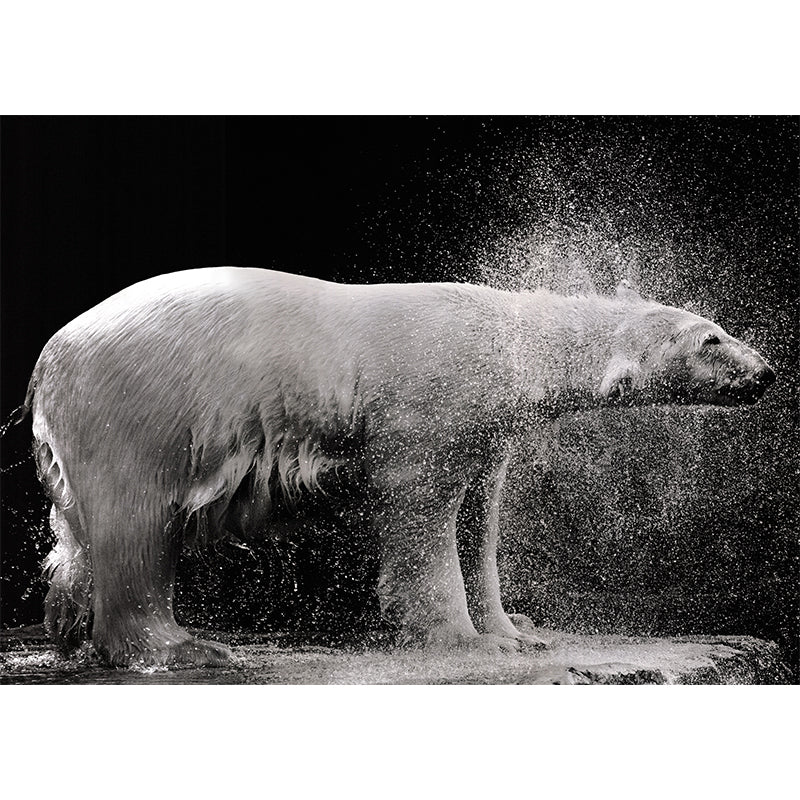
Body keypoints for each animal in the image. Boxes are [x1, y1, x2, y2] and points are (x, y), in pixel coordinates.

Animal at [20, 267, 775, 668]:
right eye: (712, 339)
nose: (767, 372)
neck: (507, 338)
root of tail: (50, 359)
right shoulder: (428, 402)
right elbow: (422, 509)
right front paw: (465, 641)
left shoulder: (489, 427)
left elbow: (481, 519)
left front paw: (518, 629)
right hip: (142, 408)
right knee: (138, 526)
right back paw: (186, 648)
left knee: (80, 542)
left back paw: (68, 627)